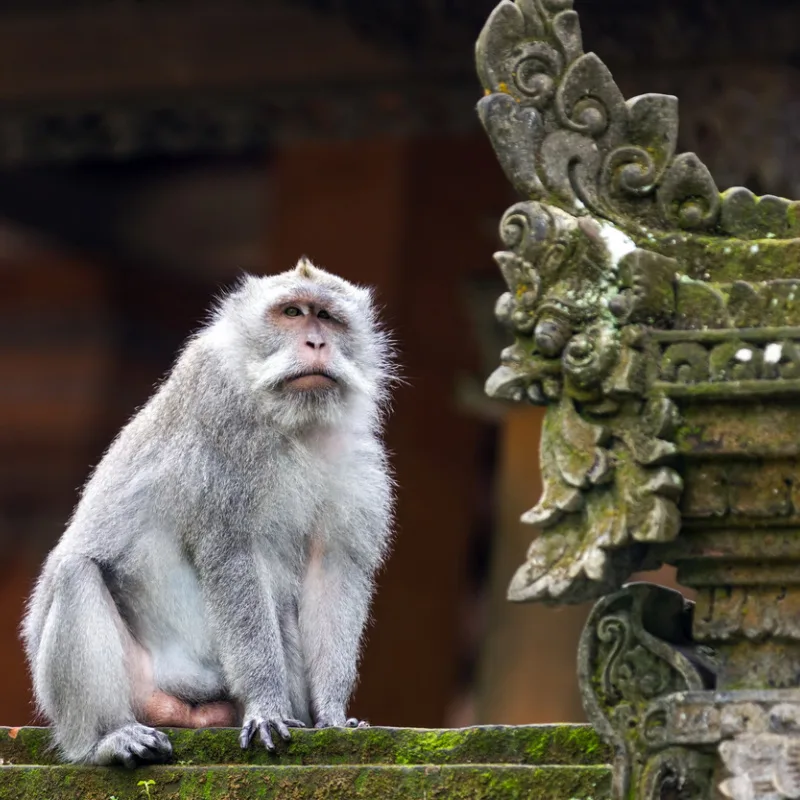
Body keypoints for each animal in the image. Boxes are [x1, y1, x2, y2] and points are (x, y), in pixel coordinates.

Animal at [23, 260, 398, 764]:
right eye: (292, 313)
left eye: (327, 317)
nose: (317, 343)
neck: (292, 420)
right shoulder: (222, 422)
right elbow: (232, 557)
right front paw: (266, 706)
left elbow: (333, 568)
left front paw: (333, 714)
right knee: (75, 575)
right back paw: (107, 739)